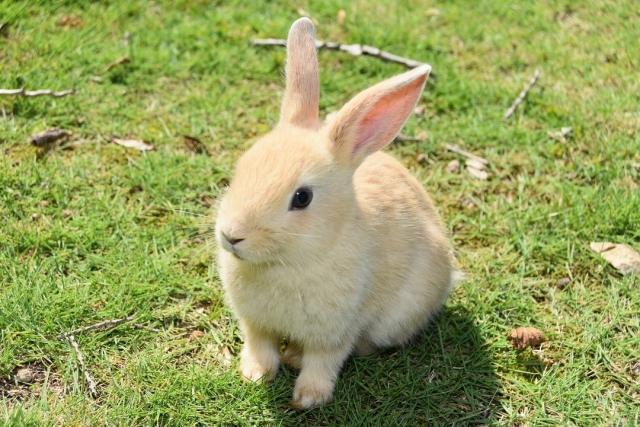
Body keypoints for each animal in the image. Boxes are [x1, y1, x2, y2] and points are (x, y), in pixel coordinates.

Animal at [216, 17, 456, 412]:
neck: (289, 261)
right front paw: (255, 375)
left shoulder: (335, 332)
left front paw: (308, 398)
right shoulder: (255, 324)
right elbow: (261, 346)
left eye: (302, 198)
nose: (231, 235)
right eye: (242, 166)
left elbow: (323, 361)